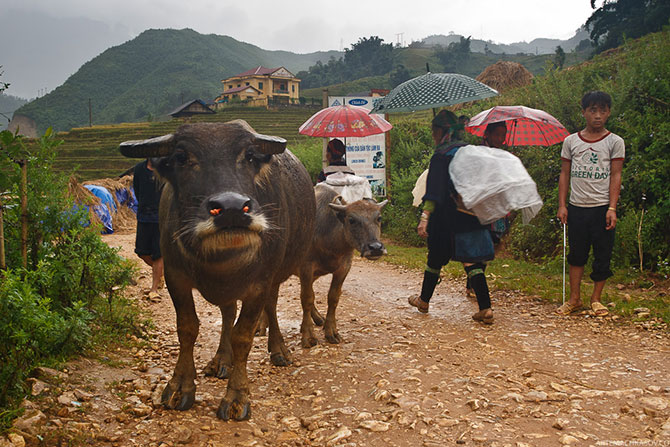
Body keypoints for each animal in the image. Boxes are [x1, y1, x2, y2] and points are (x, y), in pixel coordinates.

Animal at [119, 121, 318, 422]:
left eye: (249, 155)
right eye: (181, 157)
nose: (232, 209)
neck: (220, 259)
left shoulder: (260, 282)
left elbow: (243, 336)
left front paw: (236, 397)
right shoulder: (175, 277)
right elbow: (187, 328)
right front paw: (179, 387)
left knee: (270, 307)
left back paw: (279, 350)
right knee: (227, 313)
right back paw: (221, 360)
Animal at [300, 184, 388, 348]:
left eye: (378, 218)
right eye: (351, 220)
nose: (376, 248)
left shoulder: (344, 268)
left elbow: (333, 297)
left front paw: (331, 332)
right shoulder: (306, 268)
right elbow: (307, 298)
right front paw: (308, 336)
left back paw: (318, 318)